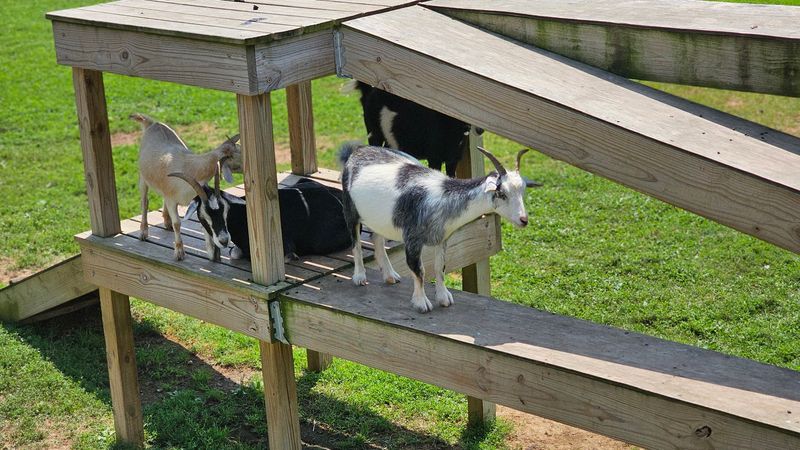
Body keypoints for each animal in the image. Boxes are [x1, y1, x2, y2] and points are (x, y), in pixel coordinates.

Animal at [131, 113, 240, 260]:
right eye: (234, 154)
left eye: (225, 211)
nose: (224, 241)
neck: (190, 166)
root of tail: (153, 123)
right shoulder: (172, 200)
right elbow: (177, 223)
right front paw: (179, 252)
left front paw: (211, 251)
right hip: (143, 178)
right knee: (144, 202)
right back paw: (143, 232)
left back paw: (167, 222)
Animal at [169, 170, 353, 263]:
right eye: (203, 215)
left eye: (225, 210)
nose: (223, 240)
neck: (242, 216)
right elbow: (234, 253)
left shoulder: (285, 246)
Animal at [339, 142, 539, 313]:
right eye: (502, 193)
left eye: (522, 191)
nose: (523, 220)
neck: (443, 197)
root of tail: (357, 151)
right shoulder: (412, 238)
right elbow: (418, 270)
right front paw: (421, 303)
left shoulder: (442, 237)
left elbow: (440, 267)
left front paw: (444, 298)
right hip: (350, 208)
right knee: (356, 242)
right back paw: (359, 277)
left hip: (378, 217)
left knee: (377, 237)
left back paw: (390, 275)